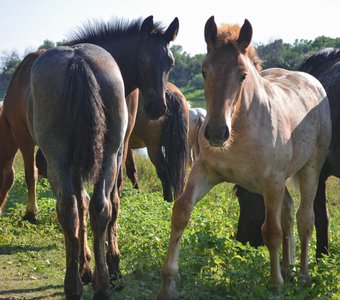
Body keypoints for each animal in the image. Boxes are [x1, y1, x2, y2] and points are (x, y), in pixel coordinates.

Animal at [0, 16, 179, 300]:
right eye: (142, 60)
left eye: (169, 63)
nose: (157, 108)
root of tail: (78, 61)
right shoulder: (116, 153)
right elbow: (104, 205)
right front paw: (104, 267)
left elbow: (84, 205)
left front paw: (89, 266)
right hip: (101, 155)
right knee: (96, 206)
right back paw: (99, 284)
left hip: (60, 156)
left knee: (71, 207)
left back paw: (77, 283)